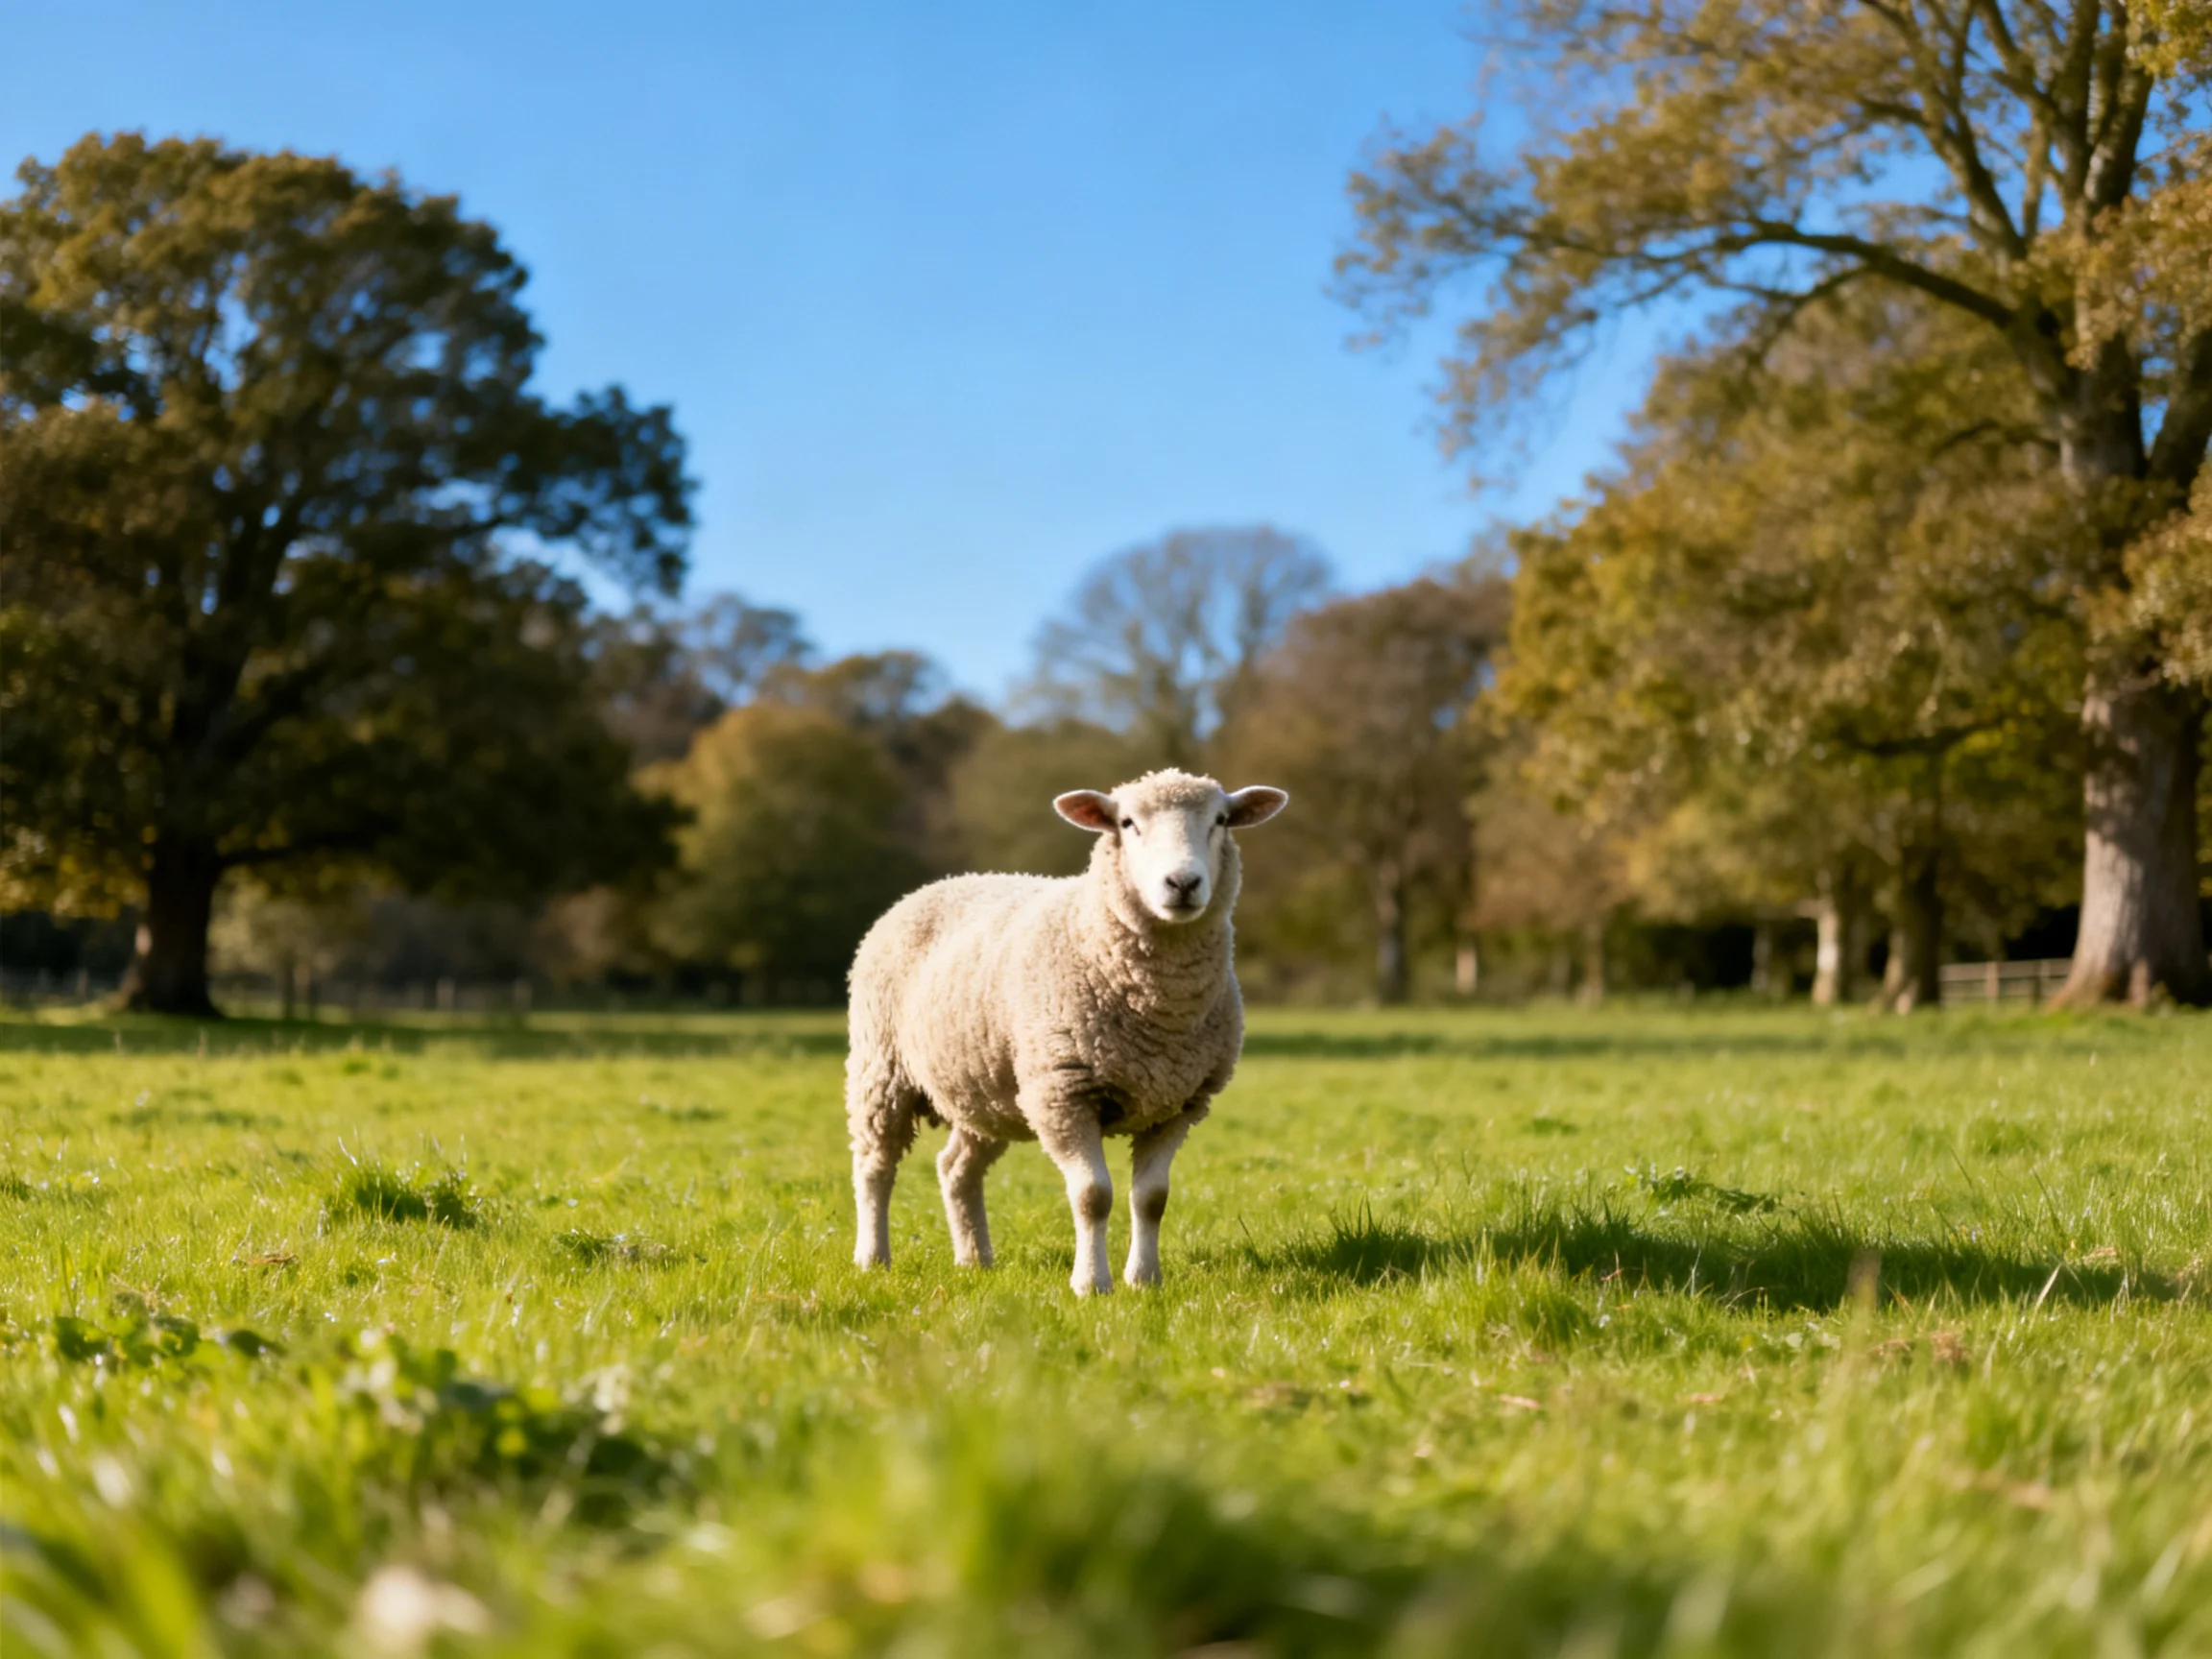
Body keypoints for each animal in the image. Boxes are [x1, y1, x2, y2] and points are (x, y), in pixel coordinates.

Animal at [845, 768, 1288, 1294]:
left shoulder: (1178, 1102)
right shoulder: (1063, 1094)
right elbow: (1093, 1196)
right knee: (874, 1166)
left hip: (987, 1092)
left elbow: (1152, 1198)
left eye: (1221, 820)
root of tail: (940, 884)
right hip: (881, 1068)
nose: (1182, 882)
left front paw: (1144, 1280)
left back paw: (975, 1260)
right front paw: (1092, 1284)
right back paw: (873, 1258)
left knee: (955, 1169)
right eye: (1127, 823)